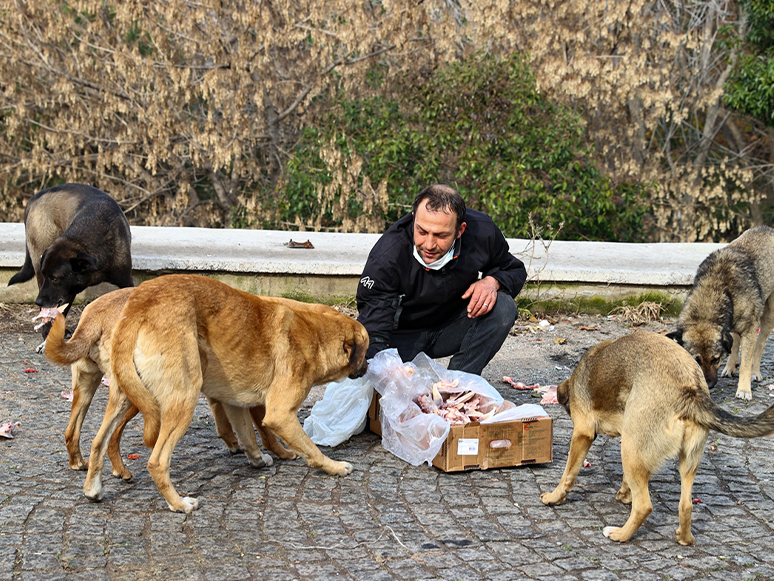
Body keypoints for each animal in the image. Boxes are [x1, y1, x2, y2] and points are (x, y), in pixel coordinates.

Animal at [8, 185, 133, 340]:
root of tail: (35, 197)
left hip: (66, 291)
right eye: (48, 276)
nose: (38, 301)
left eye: (55, 278)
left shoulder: (126, 280)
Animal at [84, 274, 370, 510]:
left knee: (98, 440)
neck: (316, 333)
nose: (368, 367)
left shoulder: (235, 403)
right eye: (366, 350)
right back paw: (179, 504)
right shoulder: (279, 414)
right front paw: (334, 467)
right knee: (157, 461)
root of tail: (139, 305)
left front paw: (257, 459)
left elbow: (248, 436)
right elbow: (311, 449)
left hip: (123, 396)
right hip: (184, 399)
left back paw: (93, 489)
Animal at [544, 330, 774, 544]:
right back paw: (684, 538)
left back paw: (620, 534)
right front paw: (624, 494)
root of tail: (689, 389)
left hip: (630, 452)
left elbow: (568, 474)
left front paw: (554, 497)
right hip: (682, 460)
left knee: (644, 506)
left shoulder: (582, 434)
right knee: (686, 505)